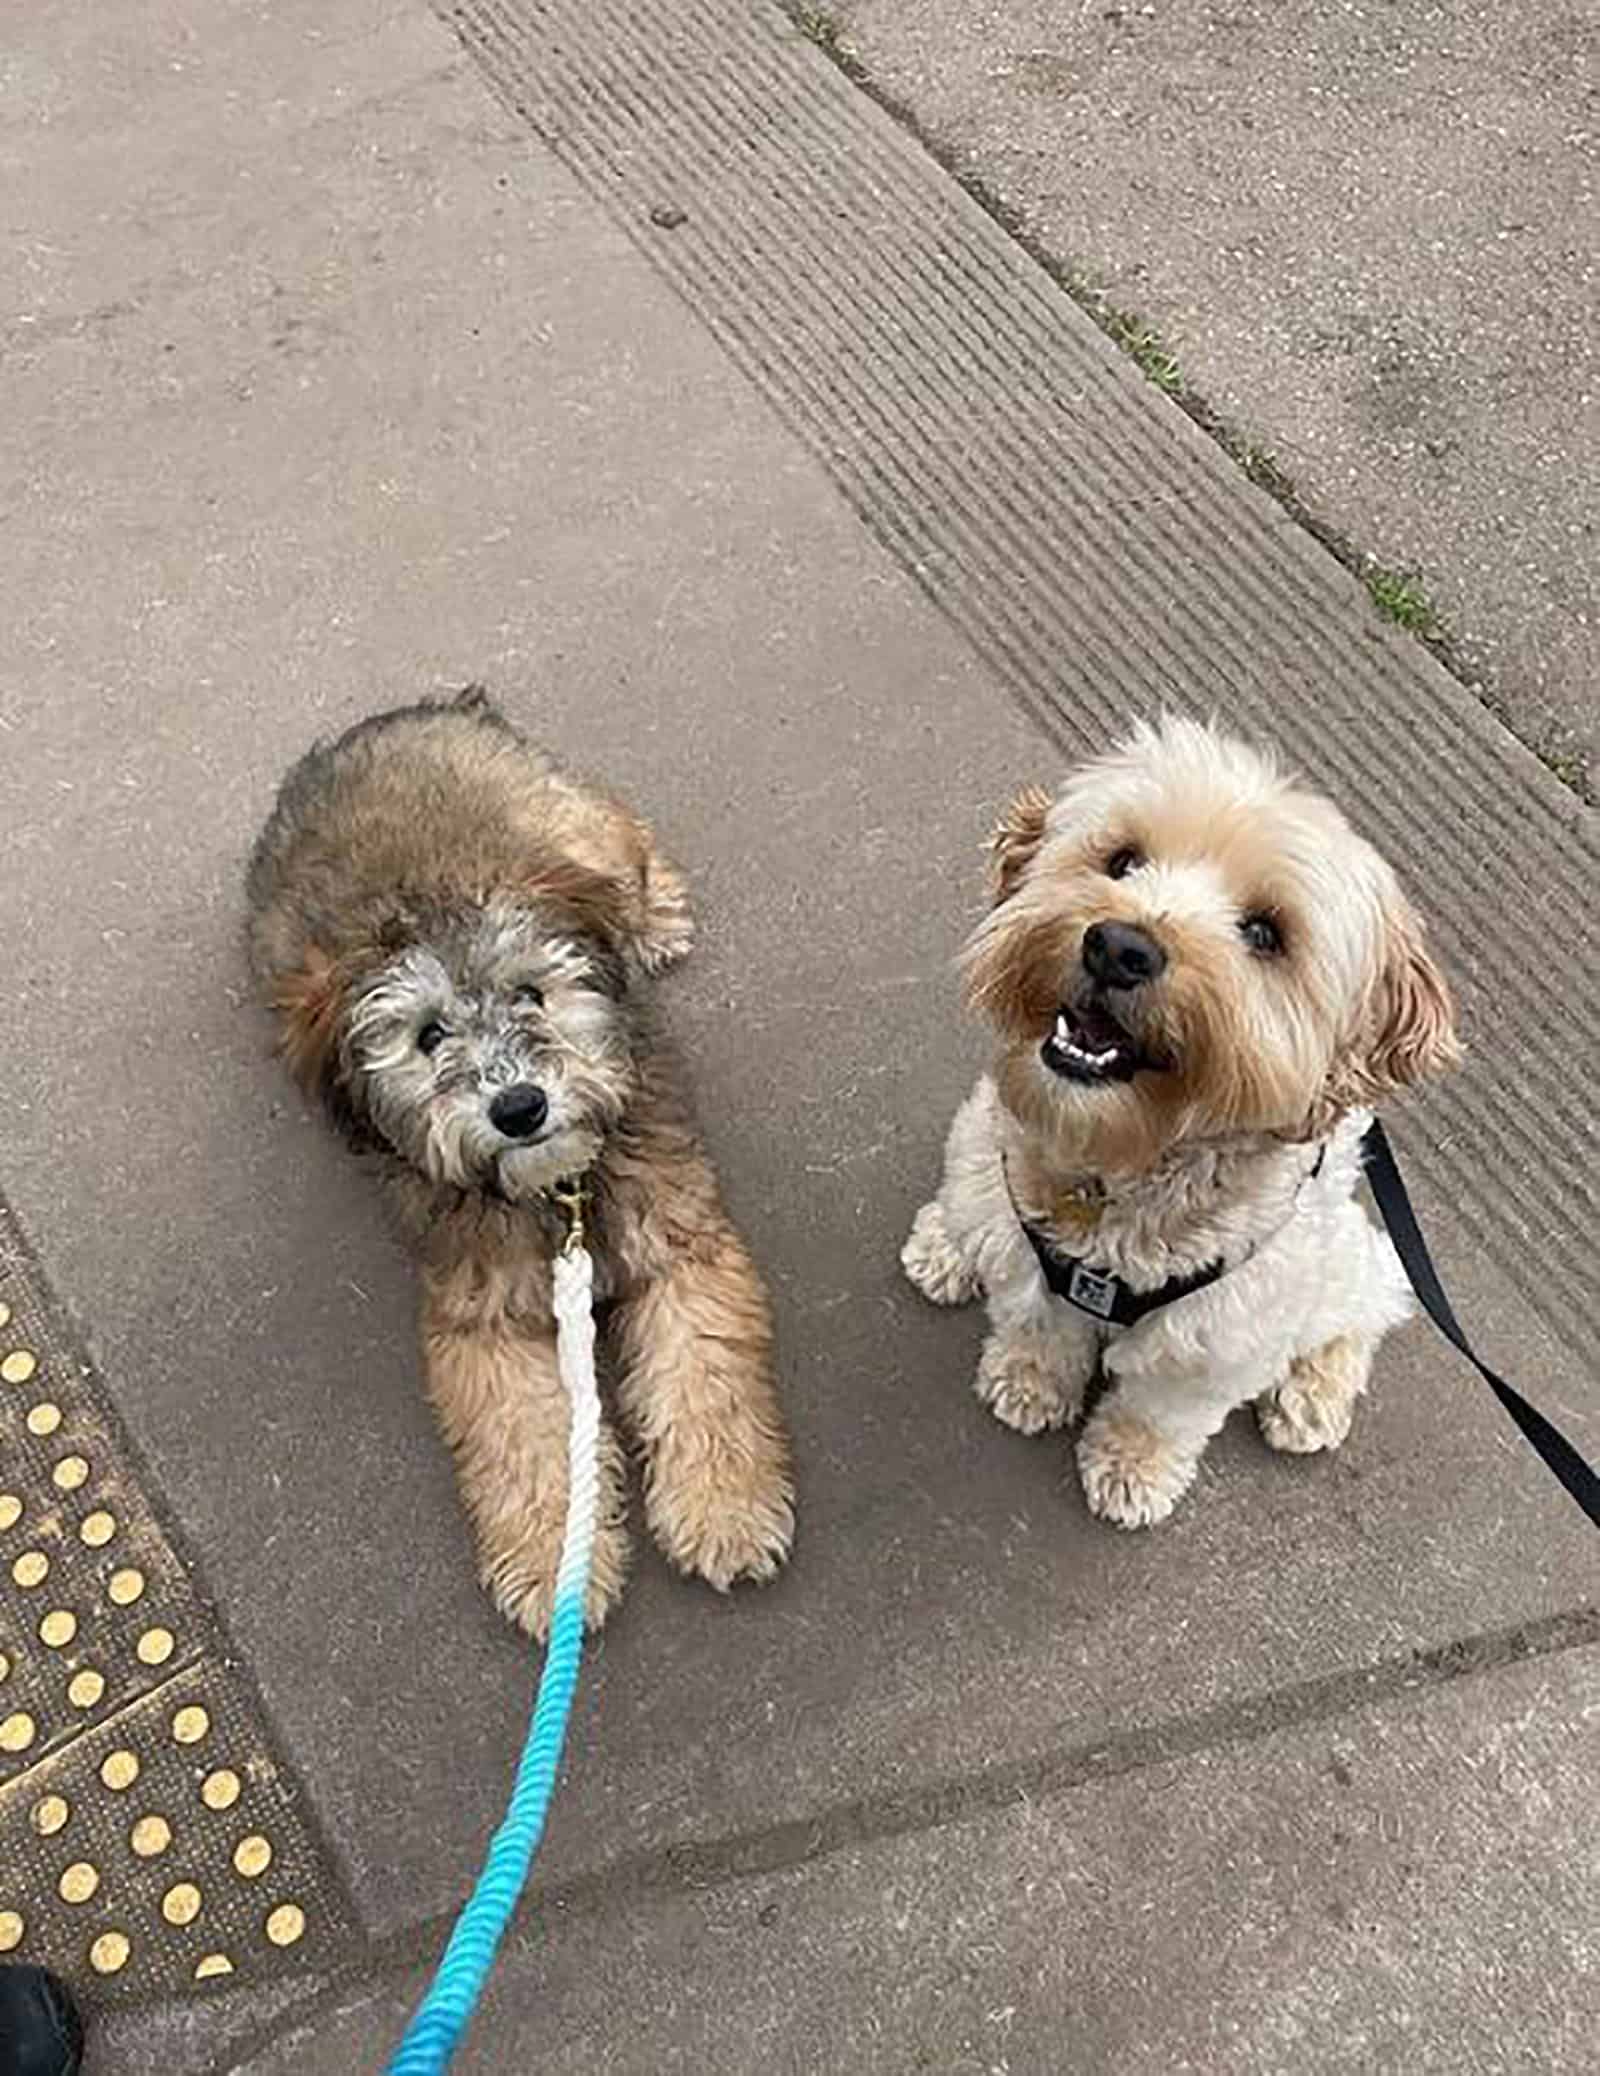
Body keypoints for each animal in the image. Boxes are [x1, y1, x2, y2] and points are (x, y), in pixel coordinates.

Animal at [245, 697, 792, 1635]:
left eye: (532, 994)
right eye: (429, 1035)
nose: (520, 1107)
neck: (555, 1193)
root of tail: (410, 710)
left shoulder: (681, 1245)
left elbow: (705, 1376)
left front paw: (725, 1506)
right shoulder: (484, 1317)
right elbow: (524, 1441)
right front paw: (553, 1564)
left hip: (568, 824)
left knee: (621, 838)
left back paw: (653, 914)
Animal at [900, 722, 1460, 1536]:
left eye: (1264, 932)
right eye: (1122, 860)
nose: (1119, 947)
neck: (1116, 1167)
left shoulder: (1220, 1336)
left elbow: (1160, 1410)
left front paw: (1132, 1465)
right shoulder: (1027, 1244)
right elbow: (1038, 1323)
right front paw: (1030, 1380)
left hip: (1336, 1258)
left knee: (1371, 1295)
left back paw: (1316, 1392)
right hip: (977, 1148)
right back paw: (945, 1243)